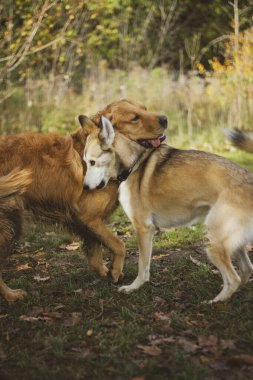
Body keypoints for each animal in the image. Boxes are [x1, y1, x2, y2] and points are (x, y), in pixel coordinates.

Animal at [0, 99, 167, 302]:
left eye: (145, 109)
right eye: (135, 118)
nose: (165, 119)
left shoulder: (88, 223)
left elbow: (96, 253)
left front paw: (105, 271)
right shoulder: (88, 217)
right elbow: (119, 245)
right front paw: (115, 271)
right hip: (10, 225)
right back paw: (11, 295)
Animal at [82, 116, 253, 302]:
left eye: (92, 162)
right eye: (86, 162)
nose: (85, 187)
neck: (134, 163)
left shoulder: (143, 228)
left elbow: (142, 265)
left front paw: (134, 287)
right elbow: (146, 265)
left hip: (214, 245)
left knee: (233, 279)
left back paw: (214, 302)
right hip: (233, 243)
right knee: (246, 270)